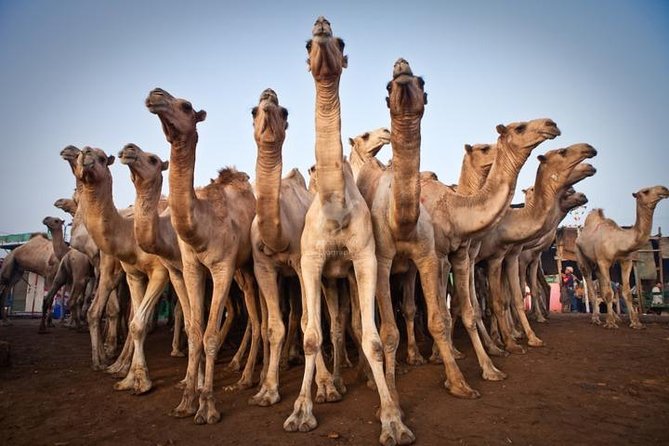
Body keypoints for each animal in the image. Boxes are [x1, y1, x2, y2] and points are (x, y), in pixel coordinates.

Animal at [74, 146, 171, 394]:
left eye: (101, 158)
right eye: (80, 155)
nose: (129, 149)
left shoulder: (160, 272)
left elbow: (138, 321)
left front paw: (140, 380)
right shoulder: (133, 274)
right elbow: (135, 323)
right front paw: (131, 377)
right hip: (110, 270)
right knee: (106, 310)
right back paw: (112, 364)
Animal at [146, 87, 260, 425]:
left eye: (185, 106)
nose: (155, 94)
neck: (200, 228)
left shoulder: (222, 267)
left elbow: (209, 335)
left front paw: (208, 406)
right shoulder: (192, 267)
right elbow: (195, 331)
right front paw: (186, 401)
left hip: (248, 267)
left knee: (257, 316)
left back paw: (245, 377)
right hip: (241, 271)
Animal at [283, 18, 414, 446]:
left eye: (340, 42)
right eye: (308, 44)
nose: (322, 25)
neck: (334, 205)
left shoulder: (365, 259)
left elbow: (371, 338)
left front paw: (392, 420)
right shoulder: (310, 263)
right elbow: (311, 336)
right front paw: (301, 412)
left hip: (346, 278)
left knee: (347, 325)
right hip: (327, 279)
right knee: (328, 326)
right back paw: (332, 385)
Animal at [476, 143, 597, 353]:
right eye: (562, 151)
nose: (589, 150)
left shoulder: (513, 257)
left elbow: (514, 296)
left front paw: (525, 335)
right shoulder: (496, 260)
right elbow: (498, 299)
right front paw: (507, 338)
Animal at [576, 185, 669, 328]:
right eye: (645, 191)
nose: (664, 189)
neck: (618, 241)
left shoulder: (626, 260)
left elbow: (626, 292)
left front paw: (635, 322)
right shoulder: (603, 262)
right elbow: (609, 292)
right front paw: (610, 323)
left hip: (597, 266)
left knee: (601, 288)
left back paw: (616, 317)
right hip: (582, 257)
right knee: (591, 287)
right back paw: (596, 318)